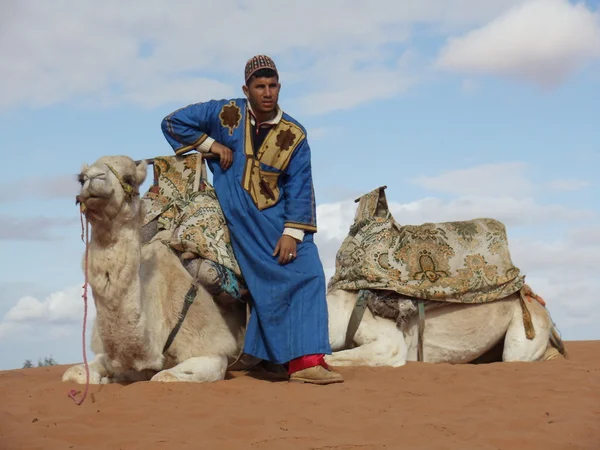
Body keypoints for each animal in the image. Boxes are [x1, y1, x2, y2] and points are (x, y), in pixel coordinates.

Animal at [61, 156, 246, 384]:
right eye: (81, 179)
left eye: (129, 178)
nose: (93, 179)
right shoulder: (107, 356)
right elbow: (74, 373)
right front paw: (106, 379)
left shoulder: (212, 349)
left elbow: (162, 377)